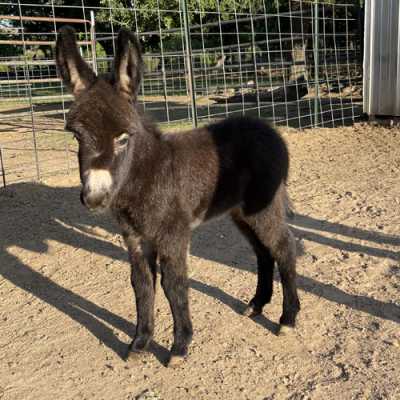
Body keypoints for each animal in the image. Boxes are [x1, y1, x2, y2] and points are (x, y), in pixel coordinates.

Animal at [56, 26, 300, 368]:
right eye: (76, 135)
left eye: (123, 137)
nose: (94, 198)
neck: (145, 176)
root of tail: (267, 128)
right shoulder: (135, 239)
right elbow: (141, 286)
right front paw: (140, 343)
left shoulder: (173, 235)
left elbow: (174, 285)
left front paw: (179, 346)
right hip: (240, 212)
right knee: (263, 253)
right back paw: (256, 305)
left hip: (262, 206)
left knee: (284, 249)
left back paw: (287, 319)